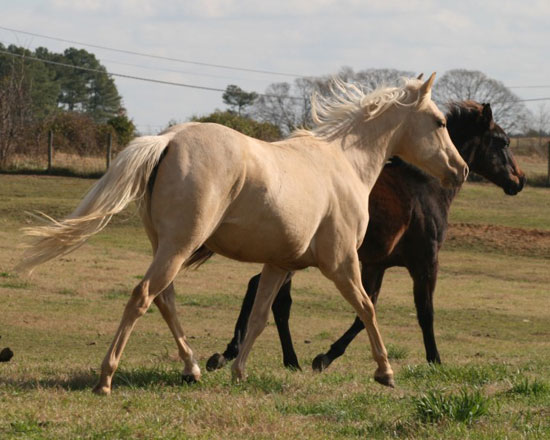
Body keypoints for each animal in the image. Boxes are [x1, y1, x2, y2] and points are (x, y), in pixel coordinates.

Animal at [19, 74, 468, 394]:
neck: (346, 164)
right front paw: (385, 371)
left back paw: (193, 368)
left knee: (165, 299)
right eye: (440, 122)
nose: (460, 169)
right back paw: (106, 379)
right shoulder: (342, 262)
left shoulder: (279, 264)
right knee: (144, 296)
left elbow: (259, 317)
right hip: (179, 246)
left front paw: (238, 372)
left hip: (167, 247)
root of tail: (168, 139)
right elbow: (367, 308)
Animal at [207, 99, 528, 372]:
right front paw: (434, 360)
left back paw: (262, 357)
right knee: (271, 297)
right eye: (502, 141)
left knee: (268, 295)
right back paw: (248, 355)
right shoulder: (425, 263)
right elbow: (424, 312)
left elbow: (365, 310)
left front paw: (326, 356)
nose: (520, 180)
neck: (424, 186)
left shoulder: (375, 265)